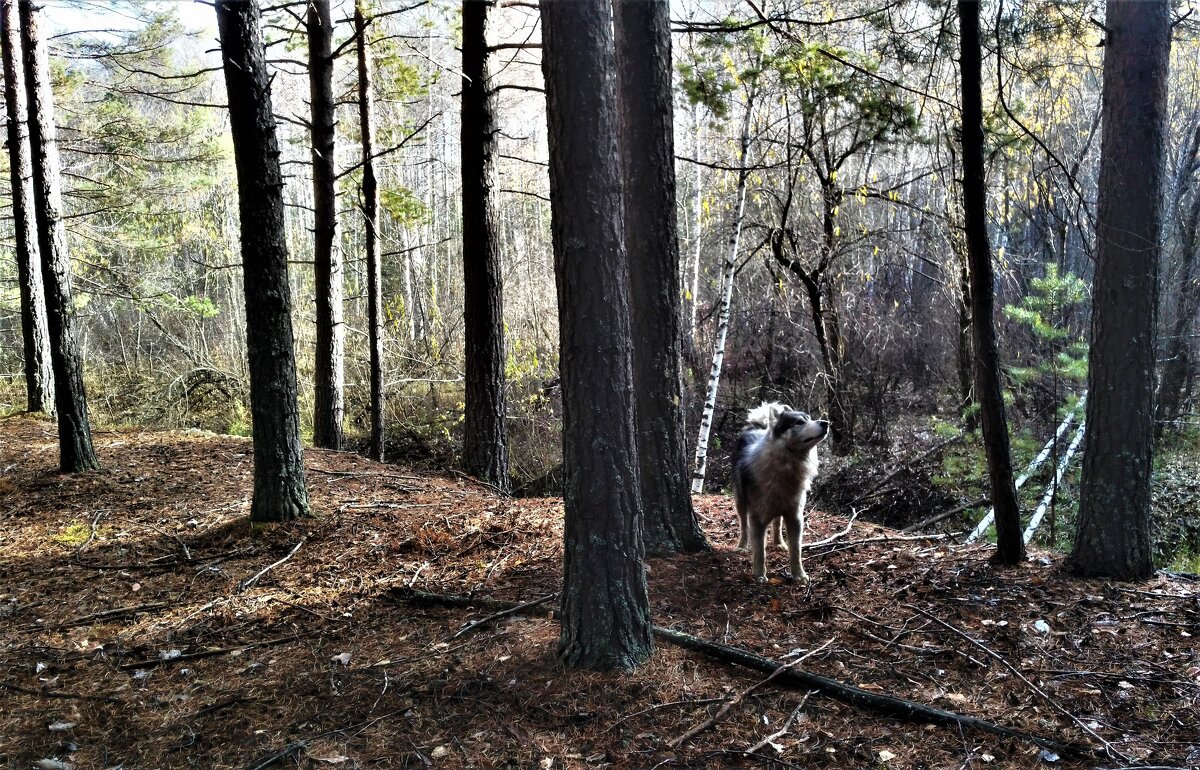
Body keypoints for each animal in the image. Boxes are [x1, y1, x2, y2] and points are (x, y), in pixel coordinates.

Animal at [724, 402, 830, 580]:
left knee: (777, 522)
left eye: (809, 418)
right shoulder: (758, 519)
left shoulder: (795, 517)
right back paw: (742, 545)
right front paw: (759, 575)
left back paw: (779, 543)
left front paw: (799, 575)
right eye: (799, 422)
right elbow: (760, 551)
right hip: (741, 502)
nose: (826, 423)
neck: (786, 464)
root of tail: (755, 427)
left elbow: (796, 551)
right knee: (743, 524)